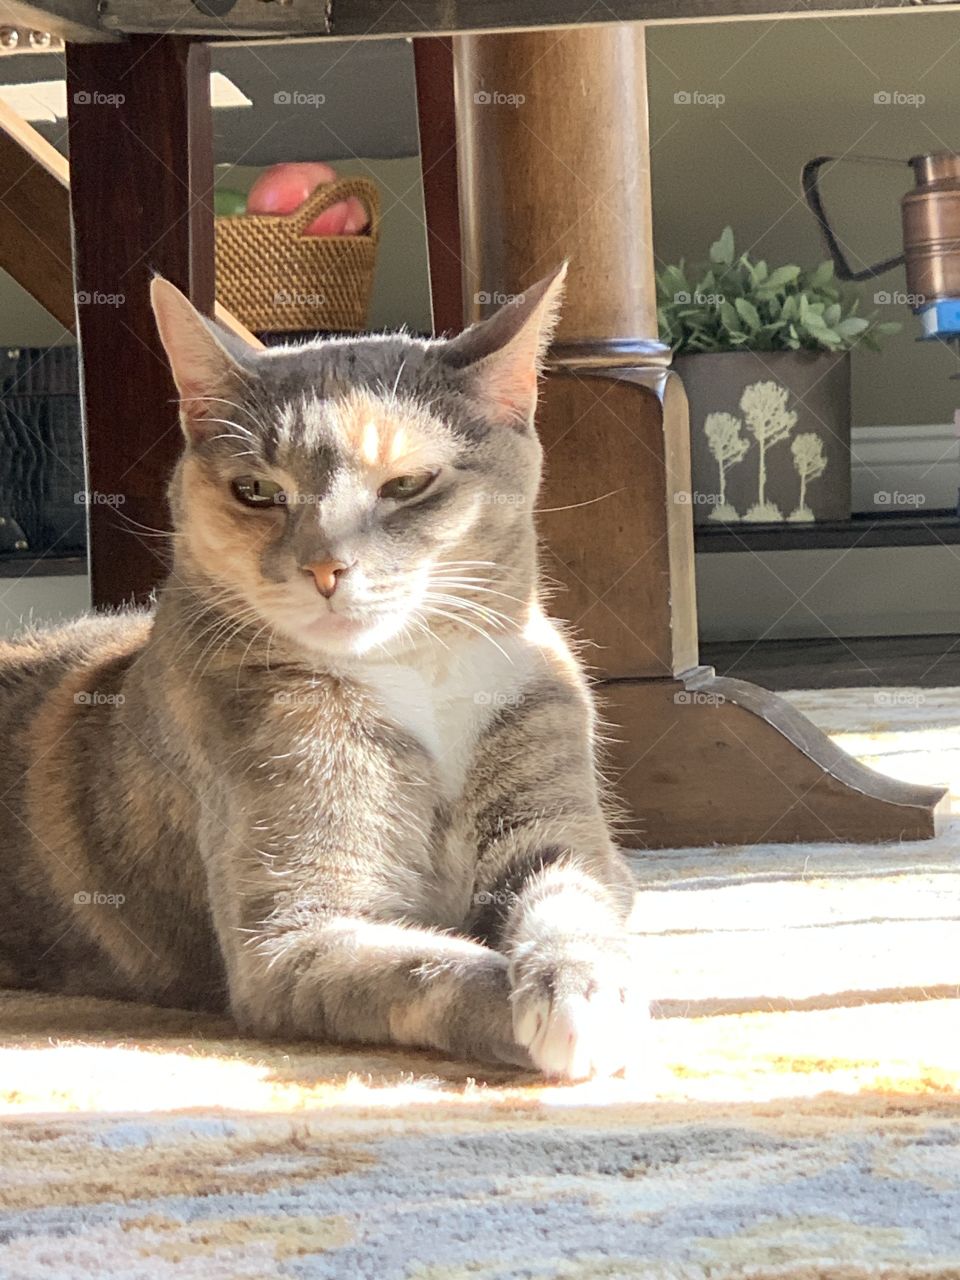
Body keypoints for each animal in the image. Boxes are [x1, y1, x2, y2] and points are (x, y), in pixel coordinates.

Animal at [1, 270, 647, 1080]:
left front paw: (581, 985)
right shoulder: (295, 934)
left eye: (407, 484)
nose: (325, 566)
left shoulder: (555, 814)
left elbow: (574, 901)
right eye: (256, 491)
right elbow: (428, 970)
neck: (411, 678)